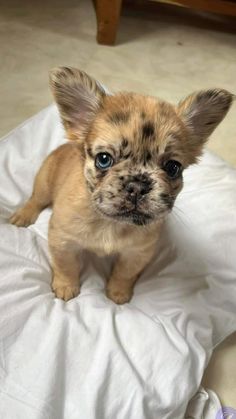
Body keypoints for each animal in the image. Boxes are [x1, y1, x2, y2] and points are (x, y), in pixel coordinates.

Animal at [9, 69, 234, 306]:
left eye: (173, 168)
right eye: (103, 159)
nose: (137, 185)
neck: (111, 223)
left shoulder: (137, 253)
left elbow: (124, 273)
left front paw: (118, 293)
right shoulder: (63, 241)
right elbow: (65, 265)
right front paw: (66, 287)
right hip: (44, 182)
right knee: (35, 199)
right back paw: (22, 216)